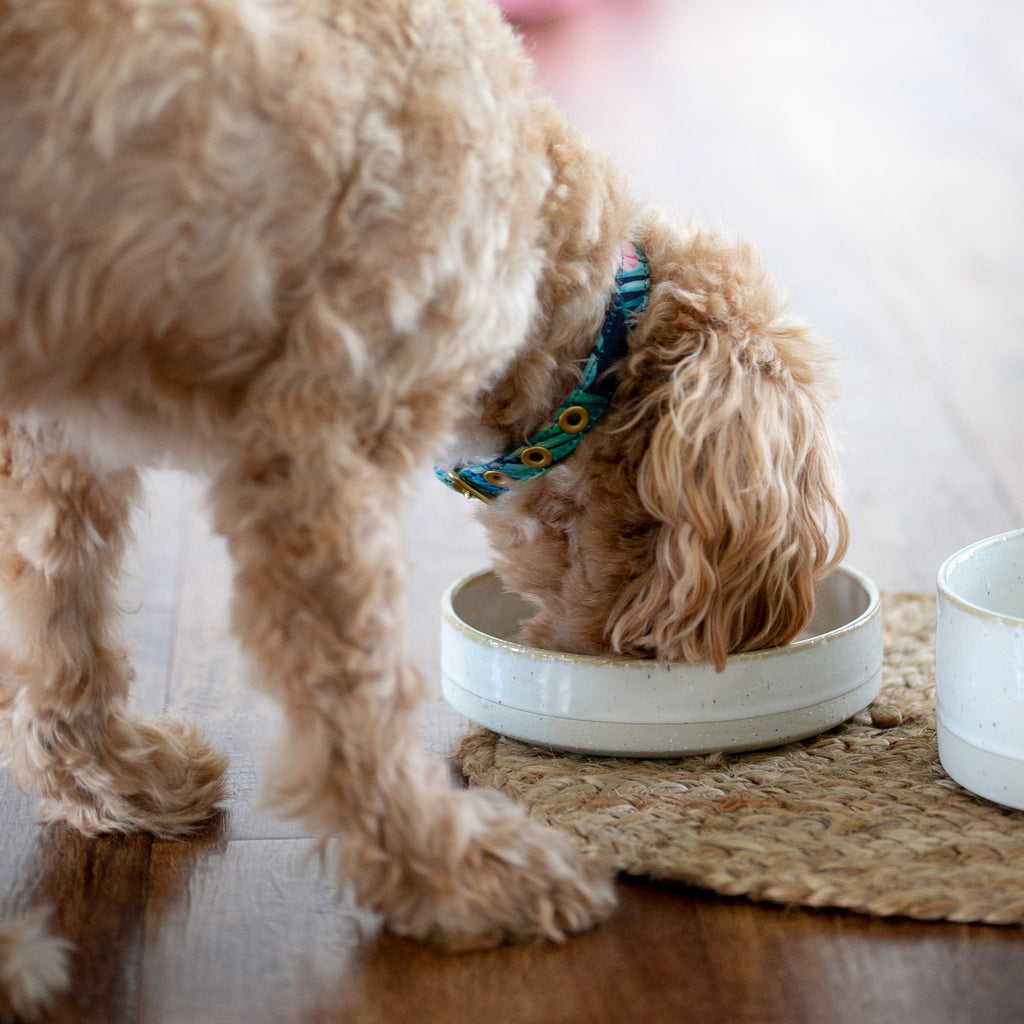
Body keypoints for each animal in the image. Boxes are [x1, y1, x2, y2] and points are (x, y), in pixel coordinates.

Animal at [0, 0, 847, 1011]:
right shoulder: (316, 449)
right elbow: (357, 701)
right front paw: (457, 875)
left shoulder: (56, 428)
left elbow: (62, 624)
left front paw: (109, 778)